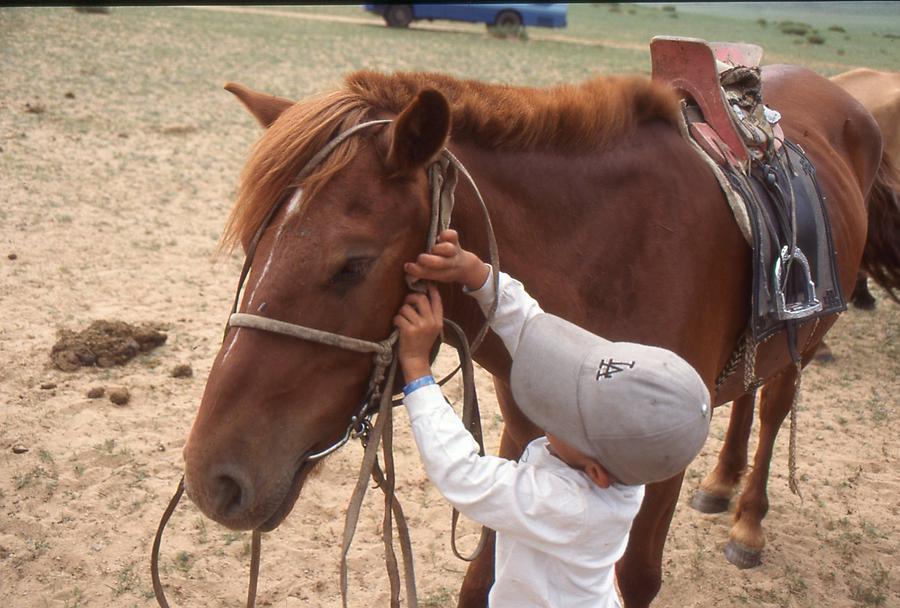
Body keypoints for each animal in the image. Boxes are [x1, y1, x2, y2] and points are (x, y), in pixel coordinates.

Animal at [181, 66, 884, 604]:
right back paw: (721, 484)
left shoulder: (656, 466)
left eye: (352, 264)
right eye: (253, 246)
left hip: (809, 339)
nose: (214, 479)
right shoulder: (523, 438)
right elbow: (482, 581)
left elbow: (635, 578)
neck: (609, 251)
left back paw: (748, 523)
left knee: (772, 408)